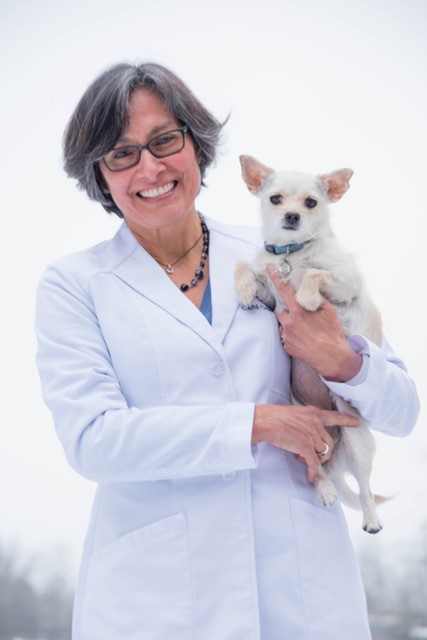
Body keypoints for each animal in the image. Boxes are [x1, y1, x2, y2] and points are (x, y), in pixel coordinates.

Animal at [236, 156, 386, 536]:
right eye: (275, 199)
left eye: (311, 203)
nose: (292, 216)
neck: (291, 254)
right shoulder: (269, 294)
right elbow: (244, 265)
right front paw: (243, 291)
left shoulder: (347, 281)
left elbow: (317, 275)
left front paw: (305, 297)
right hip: (300, 433)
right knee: (314, 469)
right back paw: (325, 489)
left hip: (358, 441)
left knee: (366, 488)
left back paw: (371, 520)